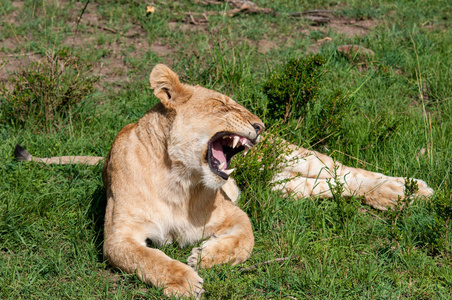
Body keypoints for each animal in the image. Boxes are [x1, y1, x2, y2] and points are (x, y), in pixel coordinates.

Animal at [15, 63, 434, 298]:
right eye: (224, 106)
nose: (260, 126)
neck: (177, 178)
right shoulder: (119, 235)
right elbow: (147, 257)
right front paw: (184, 281)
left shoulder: (232, 214)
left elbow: (245, 239)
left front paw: (204, 258)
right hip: (285, 187)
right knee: (329, 186)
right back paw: (397, 195)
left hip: (296, 156)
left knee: (344, 171)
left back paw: (407, 189)